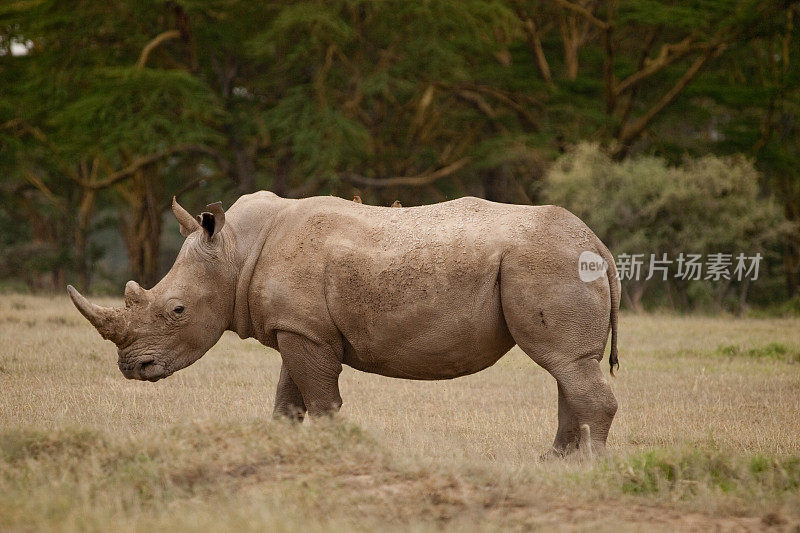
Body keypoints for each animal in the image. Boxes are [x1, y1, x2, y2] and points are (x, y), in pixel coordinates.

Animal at [67, 193, 620, 456]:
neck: (235, 250)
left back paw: (587, 467)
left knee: (565, 364)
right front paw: (284, 450)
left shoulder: (304, 332)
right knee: (567, 368)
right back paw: (555, 464)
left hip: (545, 263)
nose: (131, 368)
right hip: (552, 262)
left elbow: (321, 402)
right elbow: (287, 402)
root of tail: (600, 245)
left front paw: (336, 451)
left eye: (177, 311)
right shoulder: (298, 327)